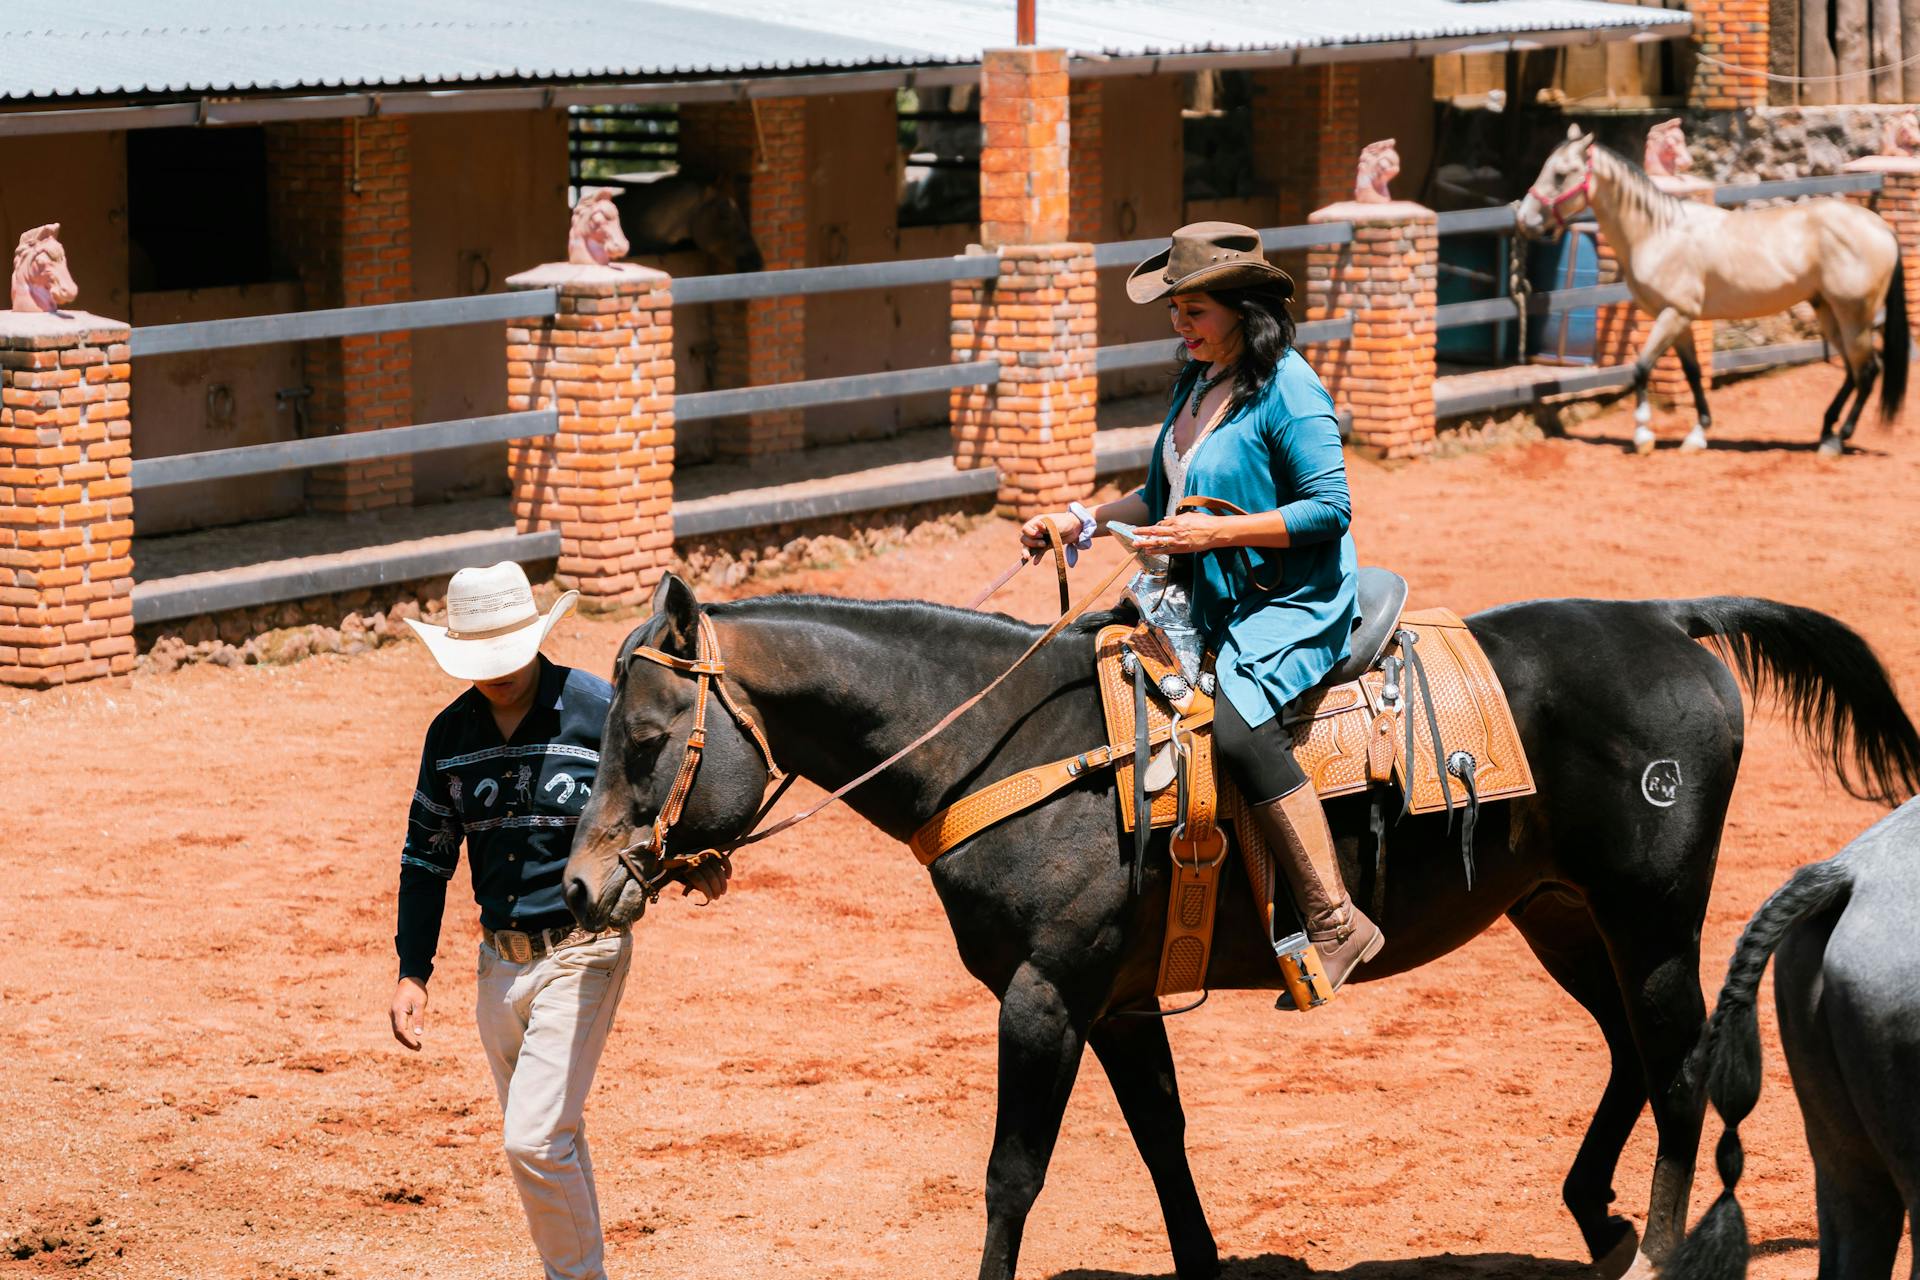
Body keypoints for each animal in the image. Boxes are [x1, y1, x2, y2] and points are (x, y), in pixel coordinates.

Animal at [1512, 124, 1904, 454]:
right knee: (1854, 371)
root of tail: (1881, 228)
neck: (1660, 232)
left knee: (1867, 371)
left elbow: (1640, 368)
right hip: (1829, 312)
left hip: (1853, 315)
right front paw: (1698, 434)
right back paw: (1826, 430)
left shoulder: (1673, 315)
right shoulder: (1681, 318)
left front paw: (1643, 436)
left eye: (1560, 174)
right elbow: (1693, 373)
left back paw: (1838, 439)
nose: (1524, 220)